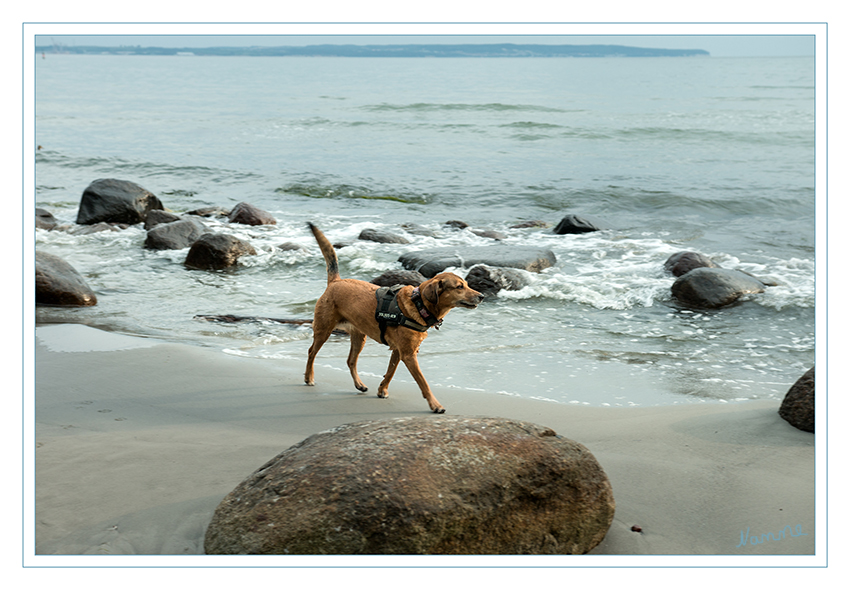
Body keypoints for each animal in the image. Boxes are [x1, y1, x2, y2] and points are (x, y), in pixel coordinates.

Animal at [304, 224, 480, 414]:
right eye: (459, 287)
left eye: (467, 285)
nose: (482, 296)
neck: (419, 304)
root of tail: (336, 281)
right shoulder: (409, 354)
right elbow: (423, 383)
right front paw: (435, 405)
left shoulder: (399, 350)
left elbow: (390, 372)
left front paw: (382, 390)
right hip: (324, 329)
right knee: (311, 352)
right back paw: (309, 377)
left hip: (359, 336)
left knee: (350, 360)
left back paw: (359, 384)